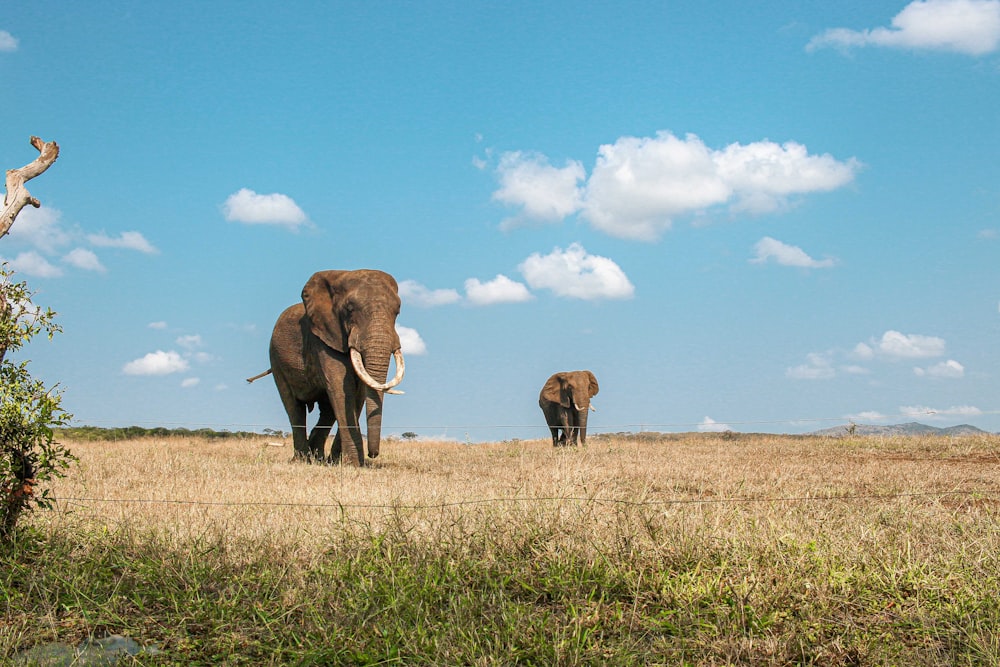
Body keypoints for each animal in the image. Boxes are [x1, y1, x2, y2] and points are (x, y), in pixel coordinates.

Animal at [252, 268, 404, 468]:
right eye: (349, 309)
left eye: (398, 311)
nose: (373, 454)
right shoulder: (322, 338)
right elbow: (341, 388)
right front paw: (352, 464)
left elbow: (358, 393)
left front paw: (341, 462)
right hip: (276, 359)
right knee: (294, 407)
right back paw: (303, 460)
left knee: (327, 411)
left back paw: (318, 458)